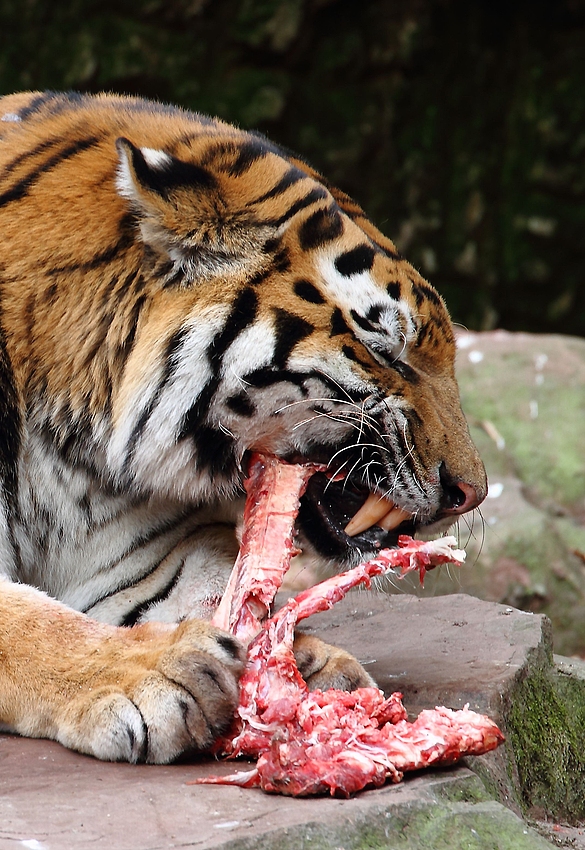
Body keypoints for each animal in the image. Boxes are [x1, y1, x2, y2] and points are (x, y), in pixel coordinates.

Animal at [0, 91, 486, 760]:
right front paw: (159, 672)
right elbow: (30, 620)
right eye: (385, 350)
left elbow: (211, 584)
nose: (473, 493)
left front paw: (303, 661)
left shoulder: (137, 552)